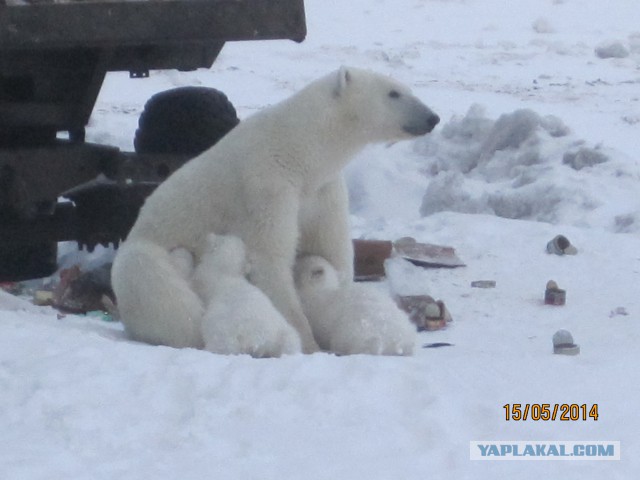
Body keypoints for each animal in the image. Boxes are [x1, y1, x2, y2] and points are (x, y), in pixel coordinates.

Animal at [111, 65, 440, 354]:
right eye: (393, 93)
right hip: (145, 254)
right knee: (167, 294)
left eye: (407, 89)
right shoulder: (268, 183)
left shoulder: (323, 190)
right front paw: (307, 342)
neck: (300, 151)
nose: (433, 117)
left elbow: (331, 248)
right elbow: (270, 256)